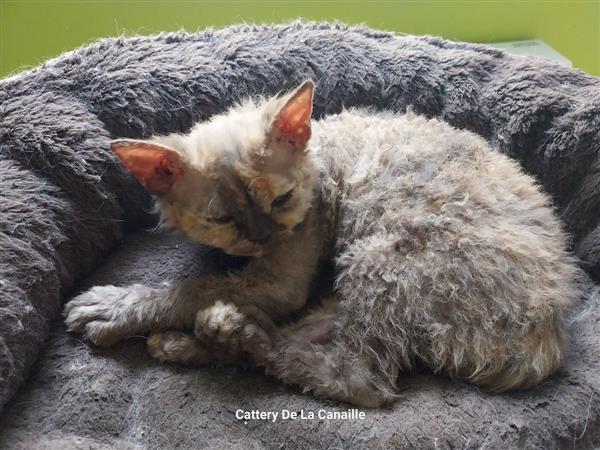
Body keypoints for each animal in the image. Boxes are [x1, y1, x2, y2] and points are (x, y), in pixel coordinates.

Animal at [63, 81, 580, 408]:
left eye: (282, 199)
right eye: (222, 219)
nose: (265, 238)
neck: (319, 155)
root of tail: (548, 339)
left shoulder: (283, 278)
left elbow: (191, 288)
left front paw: (114, 306)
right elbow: (212, 281)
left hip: (380, 258)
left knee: (361, 380)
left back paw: (231, 334)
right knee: (318, 337)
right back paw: (202, 339)